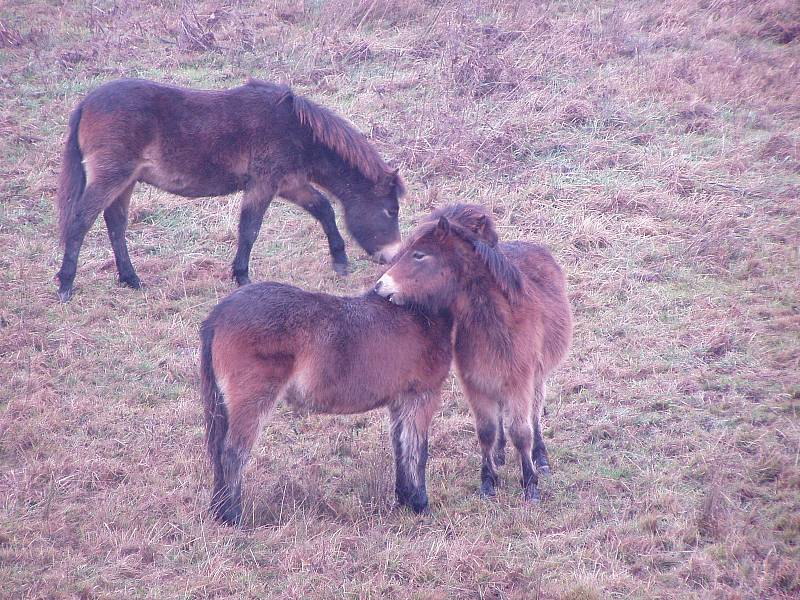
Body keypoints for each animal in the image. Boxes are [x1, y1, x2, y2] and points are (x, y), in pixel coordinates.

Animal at [56, 79, 406, 302]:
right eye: (391, 210)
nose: (394, 256)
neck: (296, 129)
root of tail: (86, 103)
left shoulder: (290, 183)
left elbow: (324, 210)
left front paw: (340, 261)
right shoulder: (264, 184)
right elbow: (249, 229)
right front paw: (242, 277)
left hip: (125, 182)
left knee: (115, 224)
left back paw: (131, 279)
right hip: (111, 177)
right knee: (81, 221)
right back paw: (66, 285)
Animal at [199, 282, 454, 524]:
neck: (418, 313)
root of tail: (218, 314)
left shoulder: (400, 402)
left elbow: (400, 447)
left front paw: (404, 501)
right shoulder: (421, 397)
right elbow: (417, 450)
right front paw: (419, 505)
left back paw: (218, 511)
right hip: (252, 401)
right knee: (232, 452)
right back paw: (232, 517)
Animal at [376, 205, 572, 502]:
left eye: (419, 255)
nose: (379, 287)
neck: (495, 322)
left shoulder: (519, 383)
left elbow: (521, 432)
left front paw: (530, 484)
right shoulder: (476, 383)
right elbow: (486, 432)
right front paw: (488, 482)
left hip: (536, 378)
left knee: (535, 415)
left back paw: (541, 459)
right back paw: (501, 454)